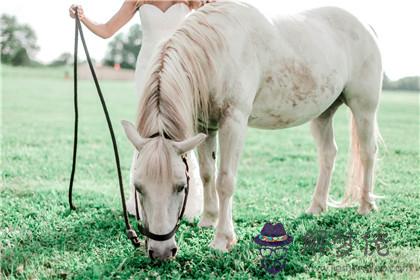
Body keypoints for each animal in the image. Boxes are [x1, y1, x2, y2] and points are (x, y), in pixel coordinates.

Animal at [120, 1, 380, 258]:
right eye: (138, 187)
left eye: (180, 187)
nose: (161, 252)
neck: (216, 51)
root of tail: (366, 26)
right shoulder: (206, 126)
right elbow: (207, 174)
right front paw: (208, 220)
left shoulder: (233, 121)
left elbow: (224, 180)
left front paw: (222, 239)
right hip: (323, 114)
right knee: (328, 154)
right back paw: (317, 207)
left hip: (364, 108)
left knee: (368, 152)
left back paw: (365, 205)